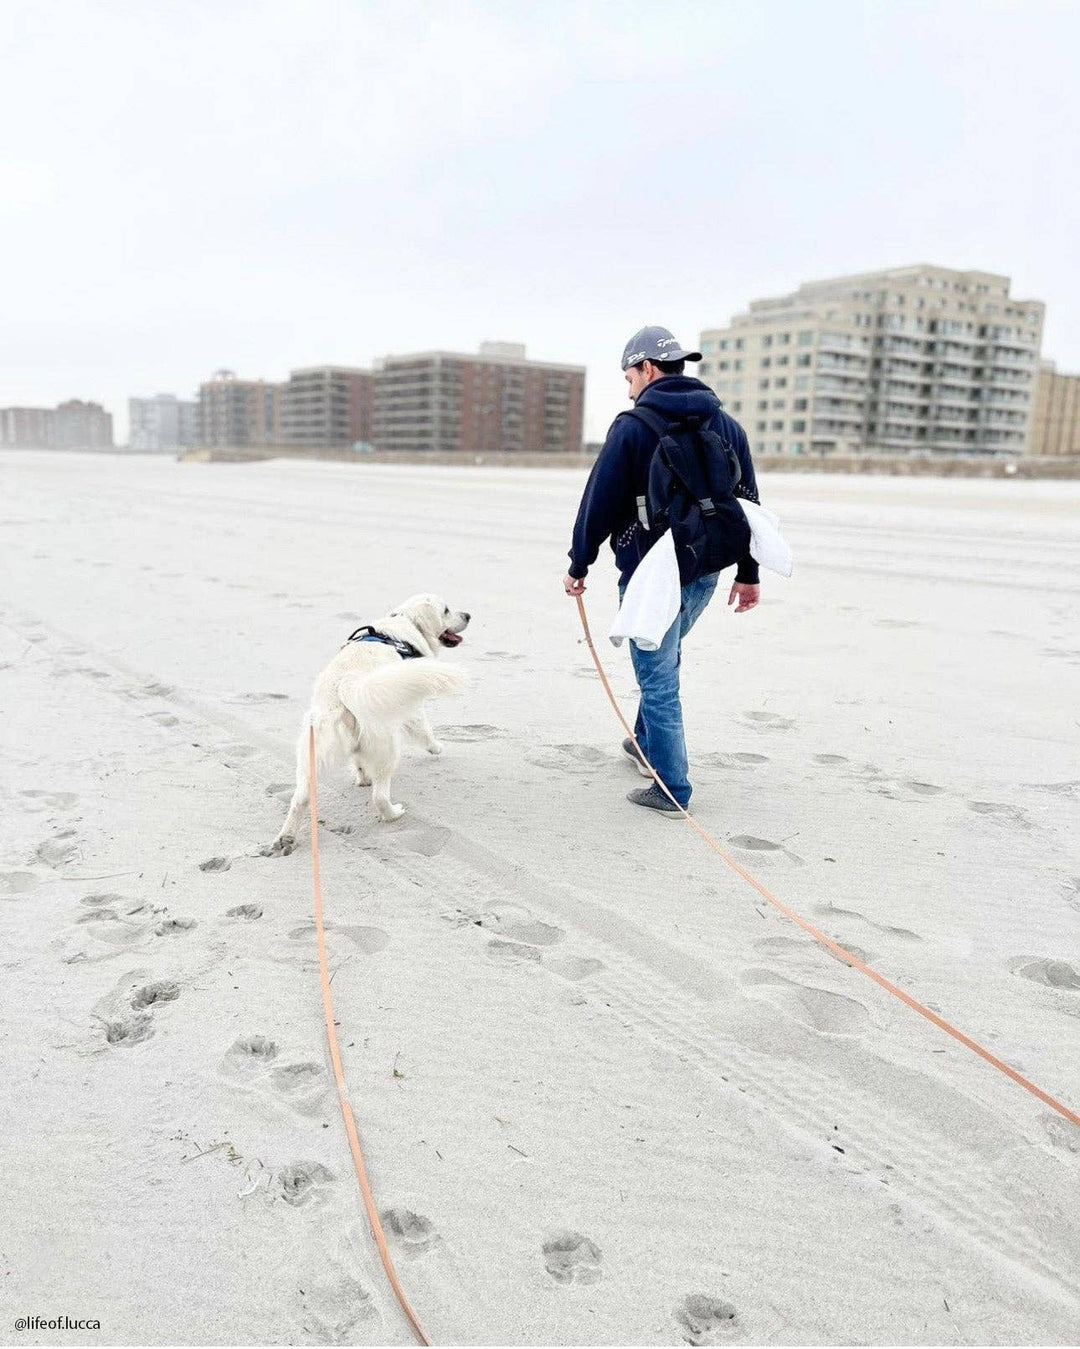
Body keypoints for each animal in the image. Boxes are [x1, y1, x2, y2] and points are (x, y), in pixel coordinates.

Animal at [266, 593, 466, 852]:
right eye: (446, 610)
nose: (468, 615)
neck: (407, 623)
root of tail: (344, 687)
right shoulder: (411, 706)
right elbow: (424, 729)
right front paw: (436, 747)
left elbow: (359, 761)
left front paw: (362, 778)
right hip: (388, 748)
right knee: (379, 797)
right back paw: (394, 813)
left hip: (311, 754)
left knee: (300, 798)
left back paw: (286, 838)